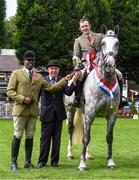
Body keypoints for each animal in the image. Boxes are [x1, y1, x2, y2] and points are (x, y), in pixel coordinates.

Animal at [78, 25, 120, 170]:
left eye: (117, 43)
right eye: (103, 43)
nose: (110, 65)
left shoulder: (112, 114)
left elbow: (109, 137)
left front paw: (111, 162)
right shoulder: (90, 112)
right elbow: (85, 138)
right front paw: (82, 164)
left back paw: (87, 155)